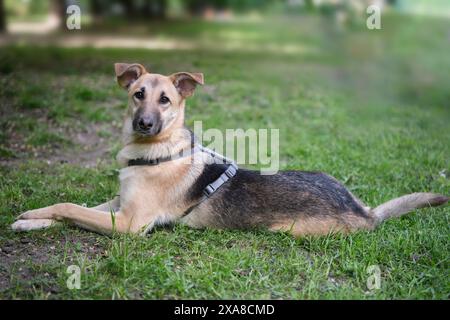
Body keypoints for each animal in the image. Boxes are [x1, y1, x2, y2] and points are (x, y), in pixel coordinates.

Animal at [11, 63, 450, 238]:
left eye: (165, 100)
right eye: (138, 94)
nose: (144, 124)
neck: (155, 151)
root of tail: (364, 212)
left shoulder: (131, 223)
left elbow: (71, 208)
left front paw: (32, 218)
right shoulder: (117, 205)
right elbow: (69, 207)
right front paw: (31, 220)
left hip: (291, 231)